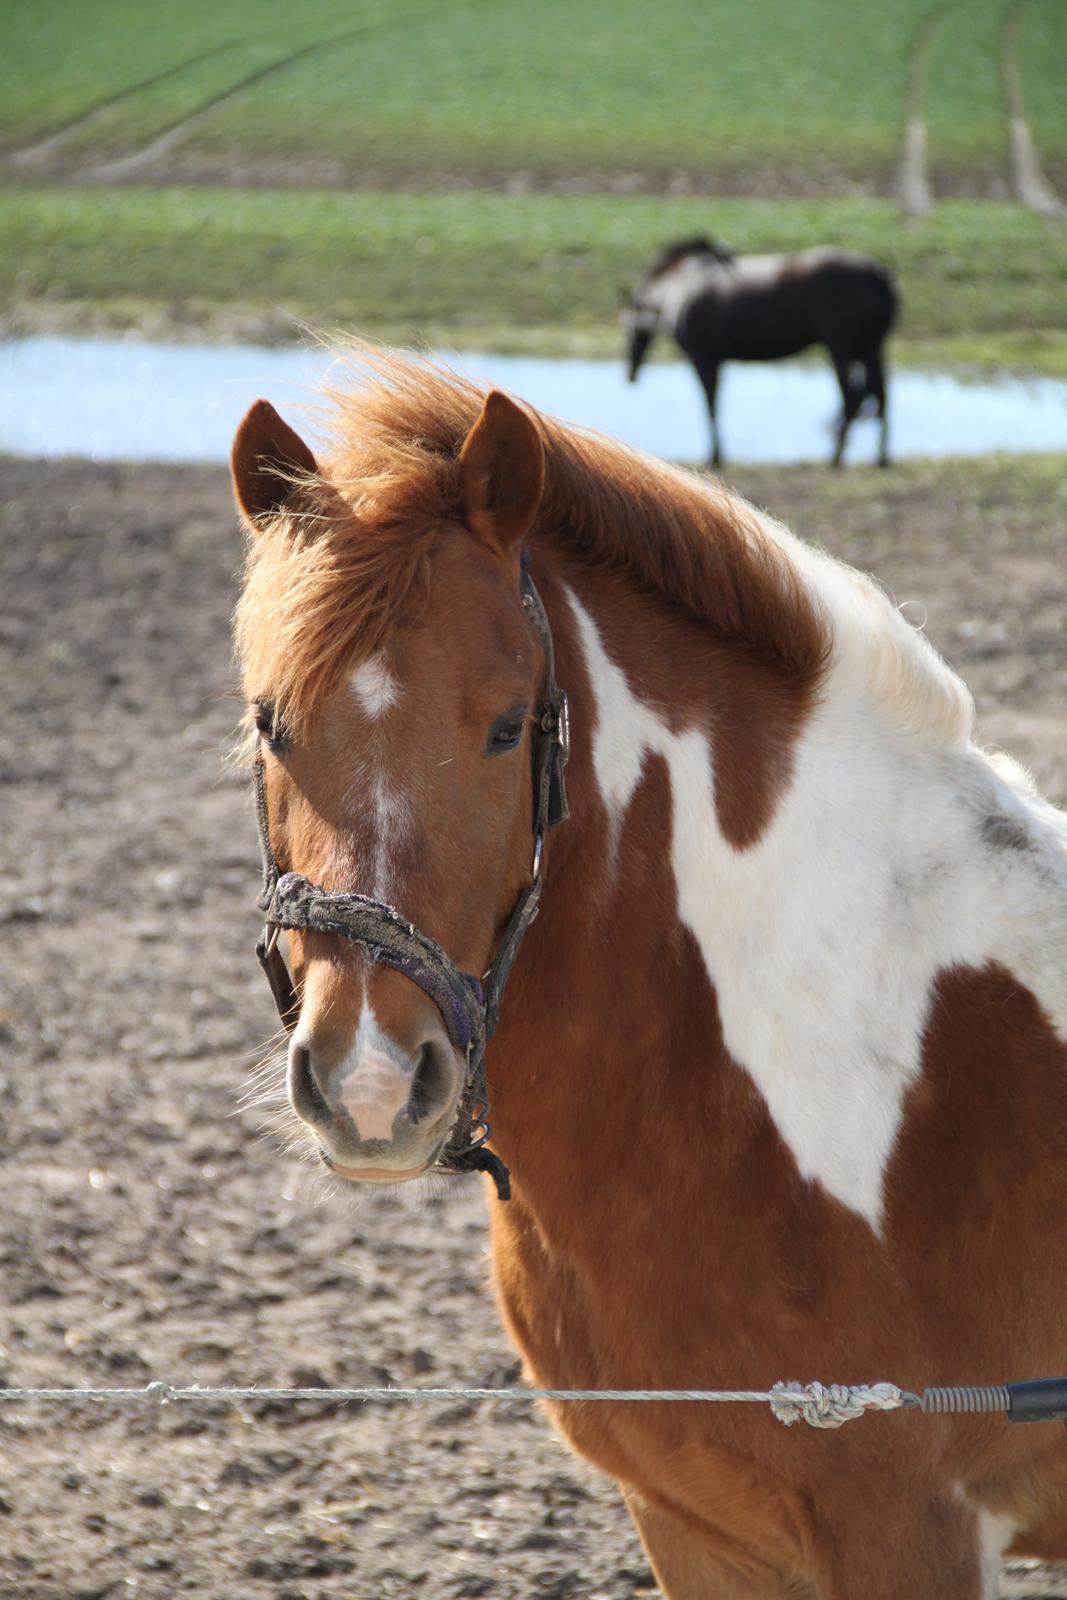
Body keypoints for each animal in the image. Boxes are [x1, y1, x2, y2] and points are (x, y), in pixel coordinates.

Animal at [621, 236, 897, 469]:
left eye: (626, 329)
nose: (630, 375)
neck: (680, 285)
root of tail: (878, 273)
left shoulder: (703, 357)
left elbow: (710, 406)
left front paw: (715, 455)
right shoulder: (716, 360)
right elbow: (714, 404)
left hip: (842, 349)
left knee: (853, 397)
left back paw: (836, 457)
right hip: (870, 349)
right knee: (880, 394)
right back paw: (880, 457)